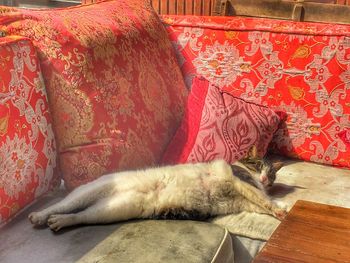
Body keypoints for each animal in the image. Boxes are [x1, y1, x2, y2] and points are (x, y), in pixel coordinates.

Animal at [28, 157, 288, 233]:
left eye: (271, 173)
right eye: (258, 165)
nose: (265, 179)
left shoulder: (245, 199)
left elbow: (262, 202)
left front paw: (280, 210)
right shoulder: (238, 181)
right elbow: (263, 200)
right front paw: (279, 209)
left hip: (112, 209)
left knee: (81, 215)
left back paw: (60, 222)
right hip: (90, 191)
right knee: (61, 205)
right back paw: (39, 216)